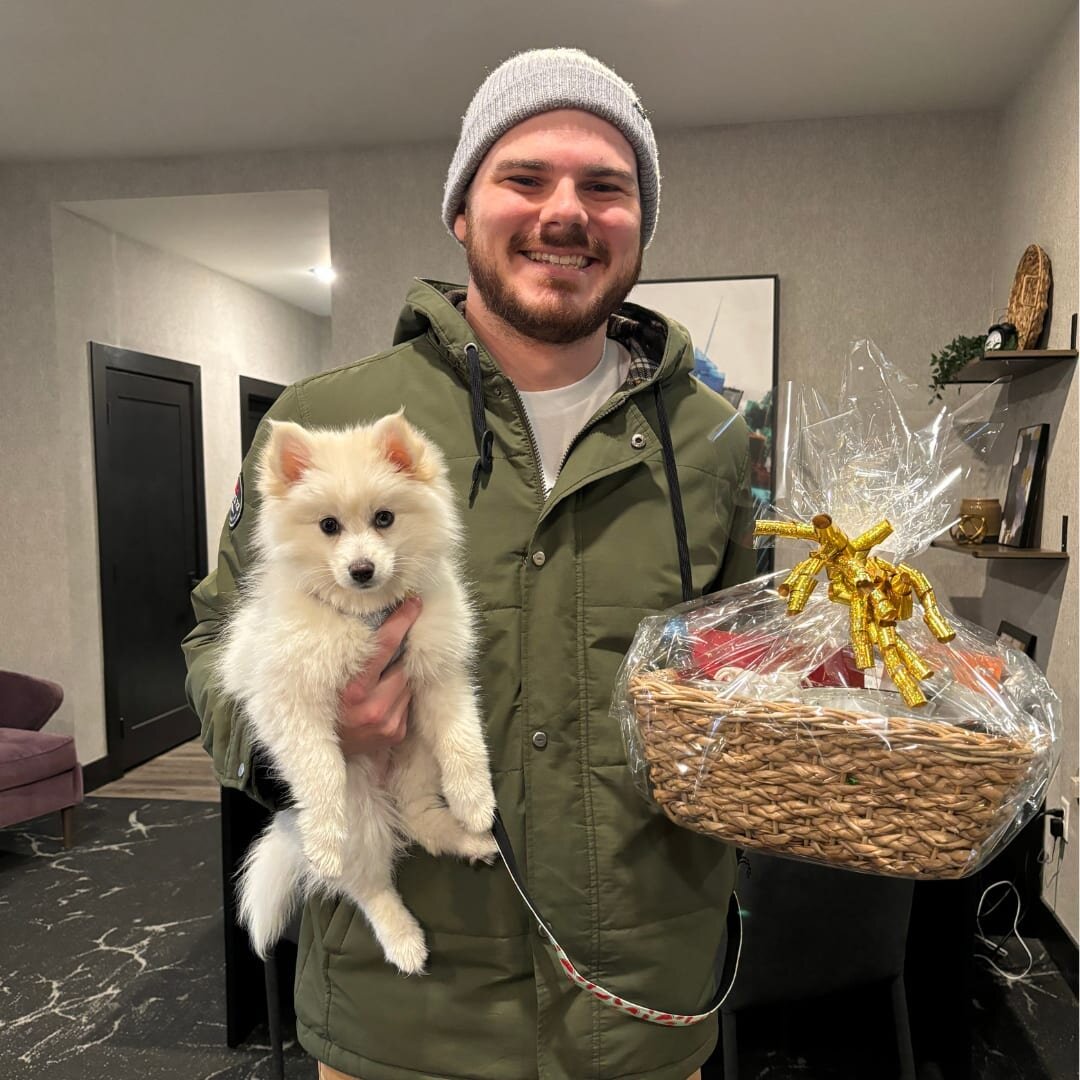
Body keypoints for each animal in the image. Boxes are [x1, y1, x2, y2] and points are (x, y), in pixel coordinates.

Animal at [219, 414, 496, 980]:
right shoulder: (289, 703)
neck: (366, 616)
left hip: (415, 757)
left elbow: (464, 741)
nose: (362, 569)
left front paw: (476, 803)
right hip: (362, 811)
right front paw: (323, 842)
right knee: (367, 884)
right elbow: (320, 769)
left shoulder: (438, 674)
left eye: (384, 518)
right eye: (328, 526)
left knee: (419, 818)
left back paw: (470, 838)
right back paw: (402, 938)